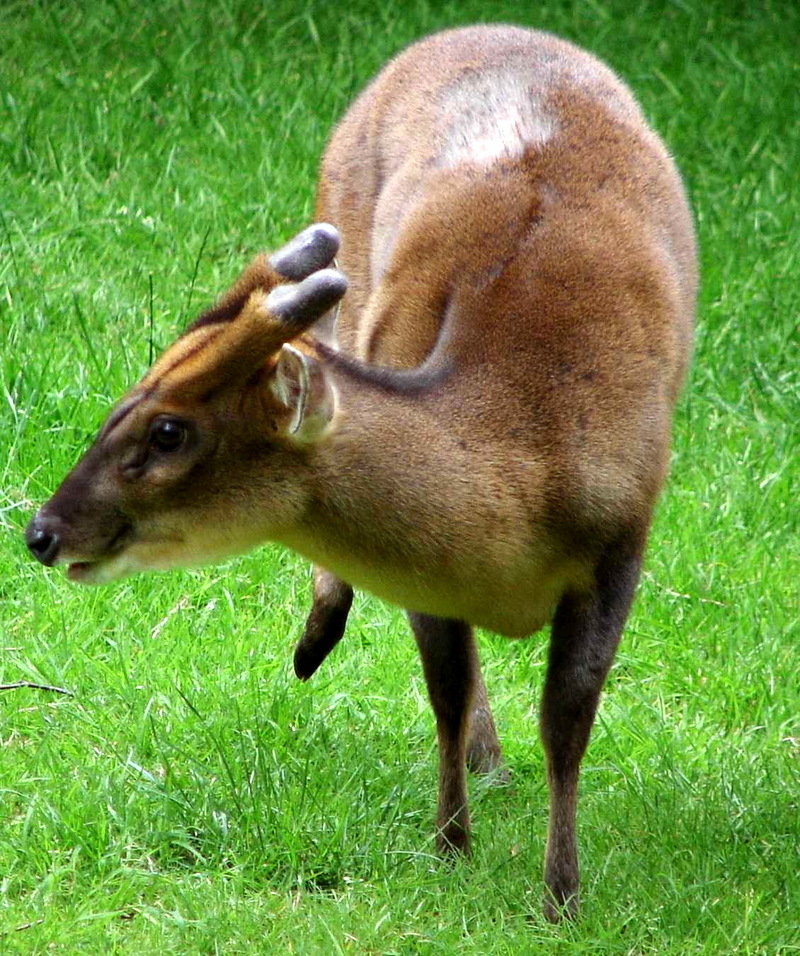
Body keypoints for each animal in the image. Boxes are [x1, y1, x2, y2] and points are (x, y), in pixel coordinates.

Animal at [26, 24, 692, 920]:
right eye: (120, 404)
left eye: (168, 432)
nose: (42, 530)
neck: (528, 450)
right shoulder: (432, 571)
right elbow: (447, 688)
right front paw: (451, 847)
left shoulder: (624, 534)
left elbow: (567, 716)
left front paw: (561, 894)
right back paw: (326, 648)